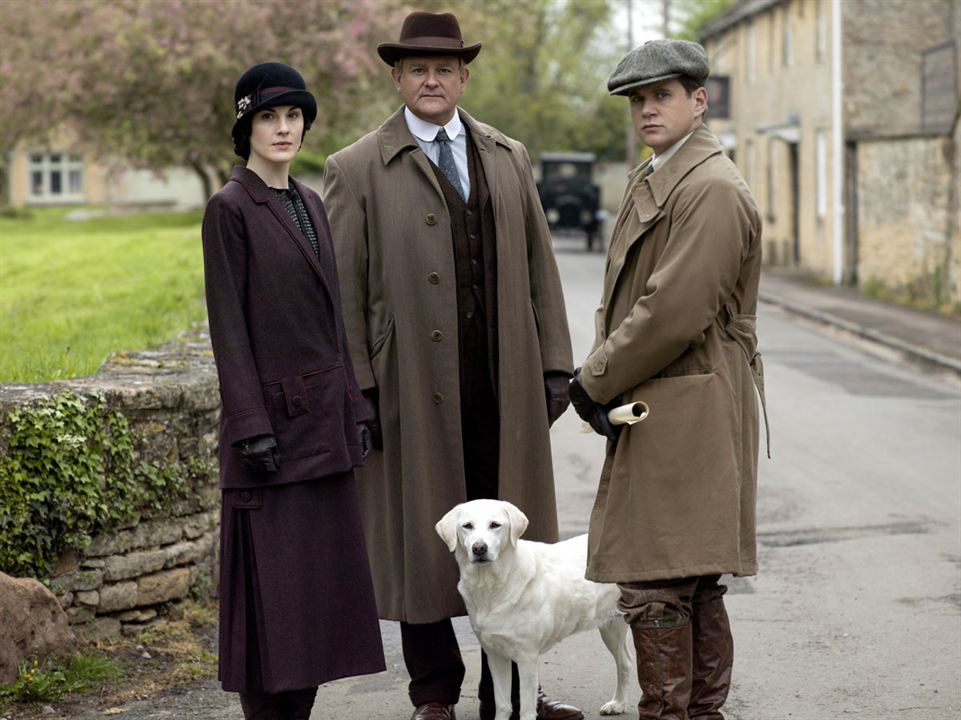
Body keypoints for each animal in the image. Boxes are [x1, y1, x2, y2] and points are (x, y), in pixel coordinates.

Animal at [434, 498, 632, 720]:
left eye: (495, 525)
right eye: (467, 526)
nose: (479, 548)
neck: (492, 585)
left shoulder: (527, 657)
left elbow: (527, 709)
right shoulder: (495, 655)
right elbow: (503, 704)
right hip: (611, 628)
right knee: (625, 662)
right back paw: (618, 704)